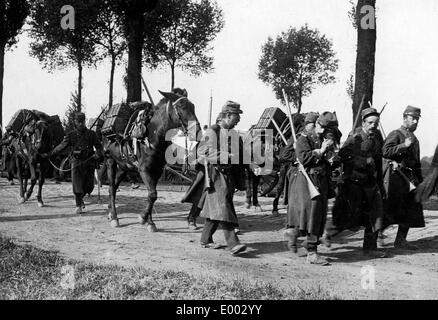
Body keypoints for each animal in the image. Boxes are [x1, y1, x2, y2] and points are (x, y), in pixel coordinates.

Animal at [102, 90, 200, 230]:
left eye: (193, 106)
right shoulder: (144, 170)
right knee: (111, 187)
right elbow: (153, 194)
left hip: (124, 166)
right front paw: (143, 218)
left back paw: (111, 212)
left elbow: (152, 195)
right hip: (110, 161)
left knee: (114, 187)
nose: (197, 131)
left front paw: (150, 222)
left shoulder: (157, 171)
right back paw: (114, 217)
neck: (153, 136)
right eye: (182, 106)